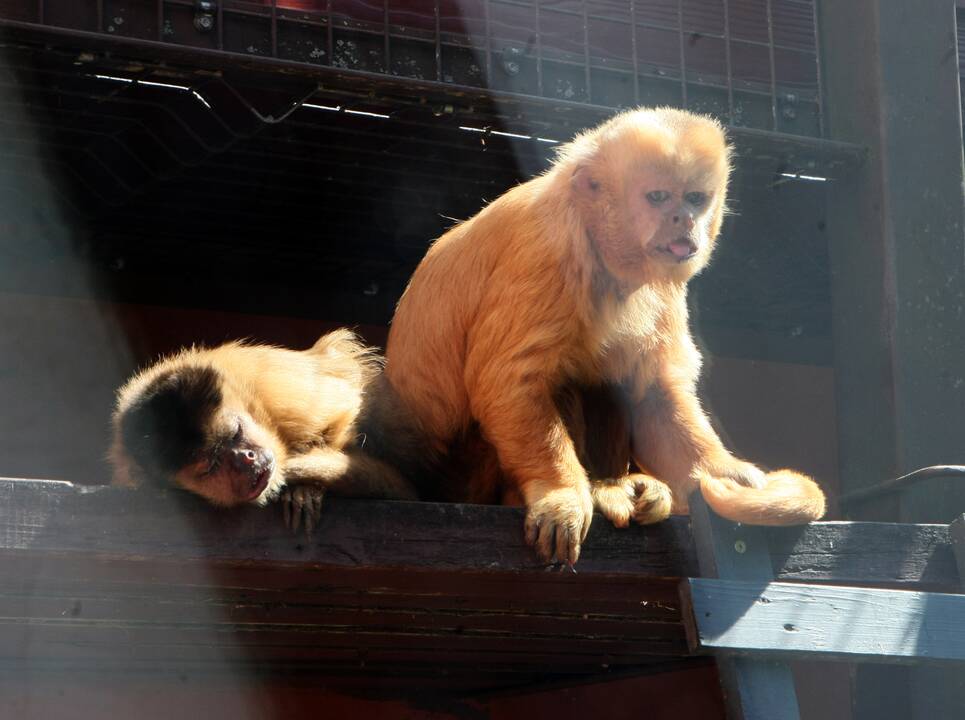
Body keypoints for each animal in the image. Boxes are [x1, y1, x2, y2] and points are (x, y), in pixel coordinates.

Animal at [382, 108, 820, 568]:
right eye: (658, 198)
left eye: (695, 199)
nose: (684, 220)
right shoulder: (548, 252)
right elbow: (508, 381)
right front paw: (559, 492)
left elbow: (654, 393)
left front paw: (723, 472)